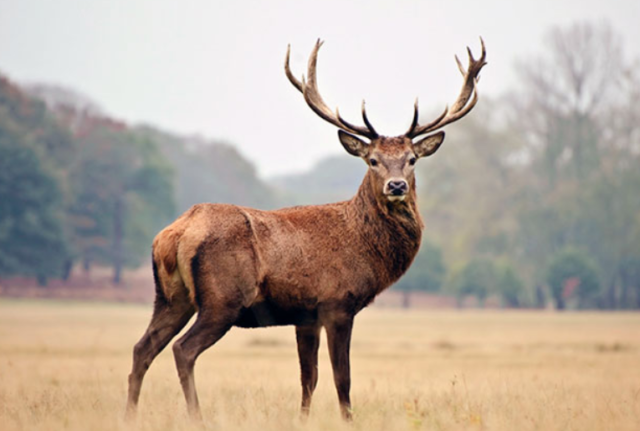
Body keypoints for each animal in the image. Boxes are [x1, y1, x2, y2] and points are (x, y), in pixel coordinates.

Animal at [124, 38, 484, 422]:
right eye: (372, 160)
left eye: (412, 159)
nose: (397, 186)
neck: (364, 246)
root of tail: (175, 233)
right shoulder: (337, 303)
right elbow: (343, 378)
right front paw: (348, 421)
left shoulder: (305, 315)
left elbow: (308, 377)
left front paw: (303, 419)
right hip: (222, 299)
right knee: (183, 350)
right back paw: (197, 417)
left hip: (170, 297)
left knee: (142, 348)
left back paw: (130, 415)